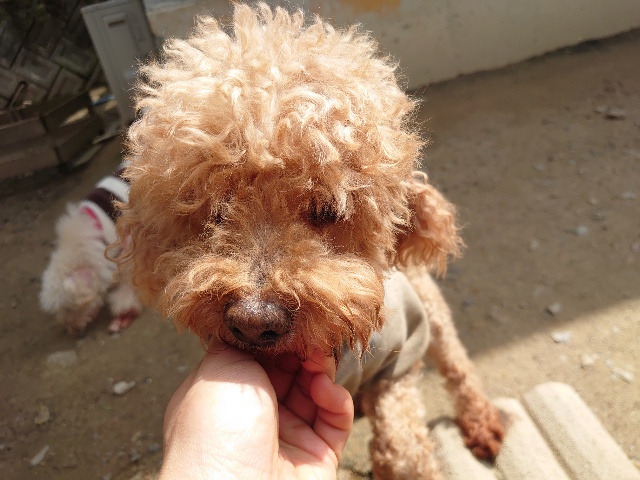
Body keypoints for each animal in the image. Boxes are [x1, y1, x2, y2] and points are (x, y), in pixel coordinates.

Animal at [114, 4, 504, 478]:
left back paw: (481, 419)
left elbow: (406, 448)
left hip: (430, 311)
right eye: (216, 210)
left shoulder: (399, 362)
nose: (254, 321)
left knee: (456, 361)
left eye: (327, 210)